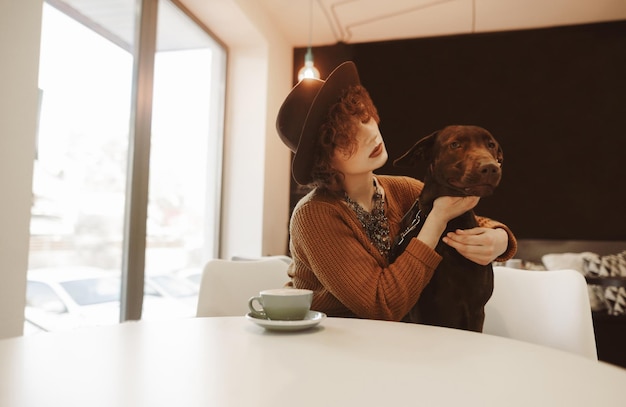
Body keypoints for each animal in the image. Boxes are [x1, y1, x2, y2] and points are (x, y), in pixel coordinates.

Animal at [390, 124, 502, 332]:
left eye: (491, 145)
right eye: (455, 144)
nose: (491, 167)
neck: (448, 224)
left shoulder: (476, 309)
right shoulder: (418, 309)